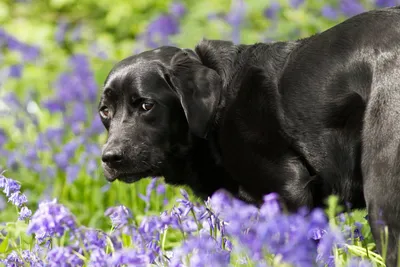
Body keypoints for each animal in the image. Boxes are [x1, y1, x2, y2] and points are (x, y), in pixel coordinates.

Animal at [100, 6, 400, 266]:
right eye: (104, 111)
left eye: (146, 105)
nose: (110, 158)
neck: (218, 108)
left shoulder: (289, 191)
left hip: (381, 194)